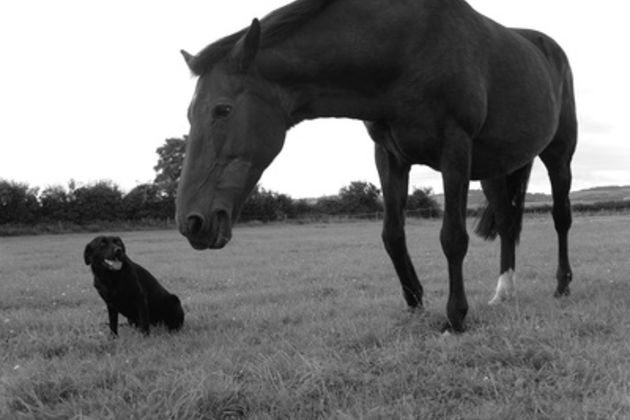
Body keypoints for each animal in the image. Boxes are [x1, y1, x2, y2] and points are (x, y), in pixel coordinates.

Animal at [177, 0, 576, 334]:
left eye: (222, 110)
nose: (191, 223)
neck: (409, 48)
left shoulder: (455, 149)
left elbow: (453, 237)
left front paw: (456, 316)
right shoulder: (390, 156)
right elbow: (392, 234)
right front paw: (414, 301)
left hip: (558, 156)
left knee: (561, 218)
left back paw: (562, 285)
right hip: (496, 168)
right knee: (508, 224)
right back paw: (504, 292)